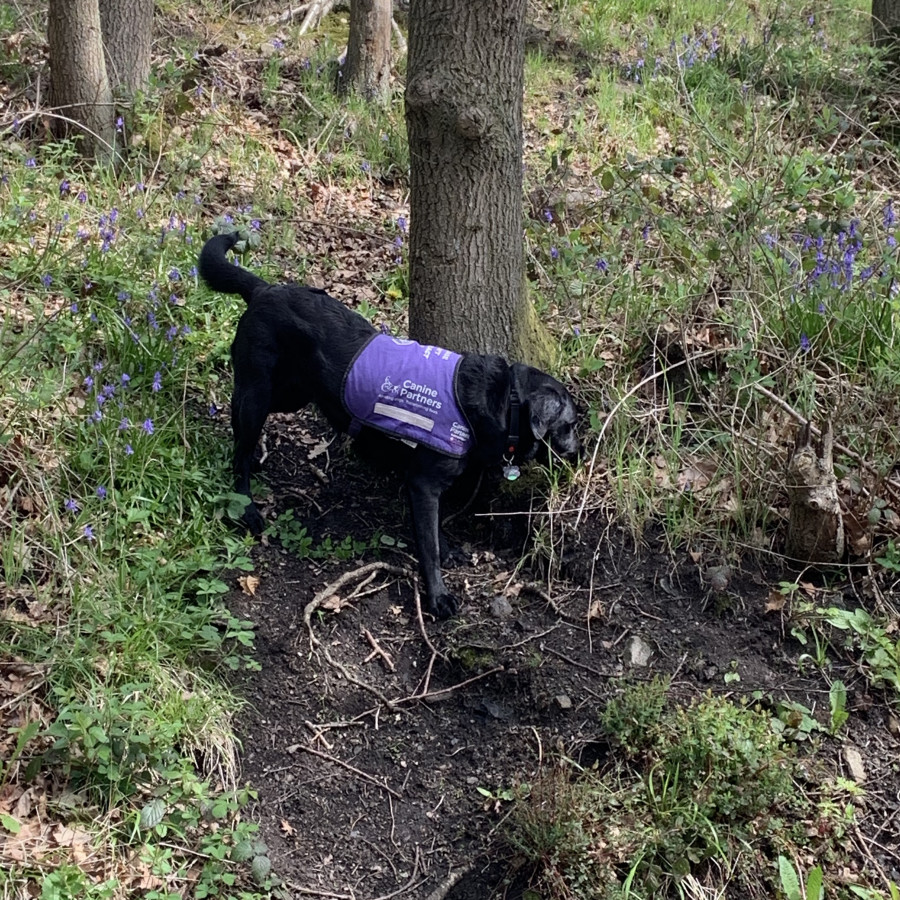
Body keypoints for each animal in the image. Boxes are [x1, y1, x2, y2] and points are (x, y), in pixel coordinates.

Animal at [198, 229, 580, 616]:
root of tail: (265, 289)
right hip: (259, 392)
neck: (504, 401)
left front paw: (448, 550)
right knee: (241, 441)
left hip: (294, 394)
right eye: (570, 425)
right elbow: (429, 546)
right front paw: (438, 596)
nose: (579, 453)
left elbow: (435, 530)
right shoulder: (424, 483)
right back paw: (247, 504)